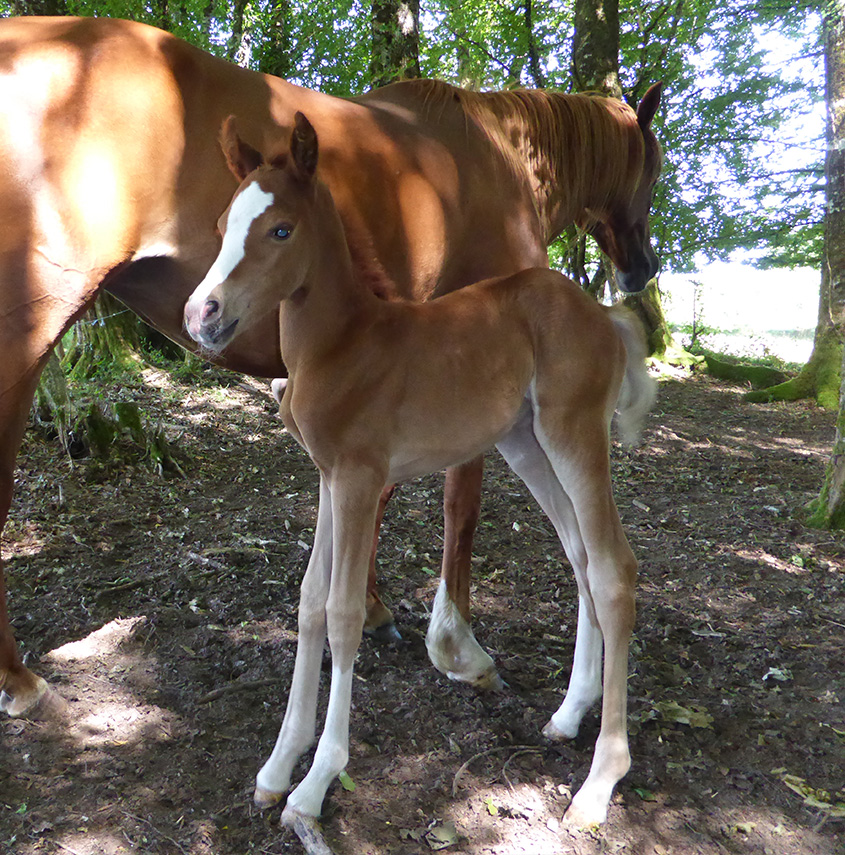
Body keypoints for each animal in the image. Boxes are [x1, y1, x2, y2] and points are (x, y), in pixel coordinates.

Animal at [0, 16, 660, 720]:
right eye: (654, 167)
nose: (641, 269)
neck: (497, 156)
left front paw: (372, 608)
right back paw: (20, 680)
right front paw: (455, 644)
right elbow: (461, 501)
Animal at [181, 113, 656, 848]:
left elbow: (344, 614)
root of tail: (601, 313)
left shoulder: (359, 477)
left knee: (612, 567)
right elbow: (309, 601)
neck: (343, 344)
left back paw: (599, 782)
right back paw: (567, 714)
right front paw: (277, 767)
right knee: (579, 557)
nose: (201, 315)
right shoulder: (327, 477)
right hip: (526, 444)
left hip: (574, 434)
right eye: (221, 224)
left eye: (281, 230)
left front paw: (314, 785)